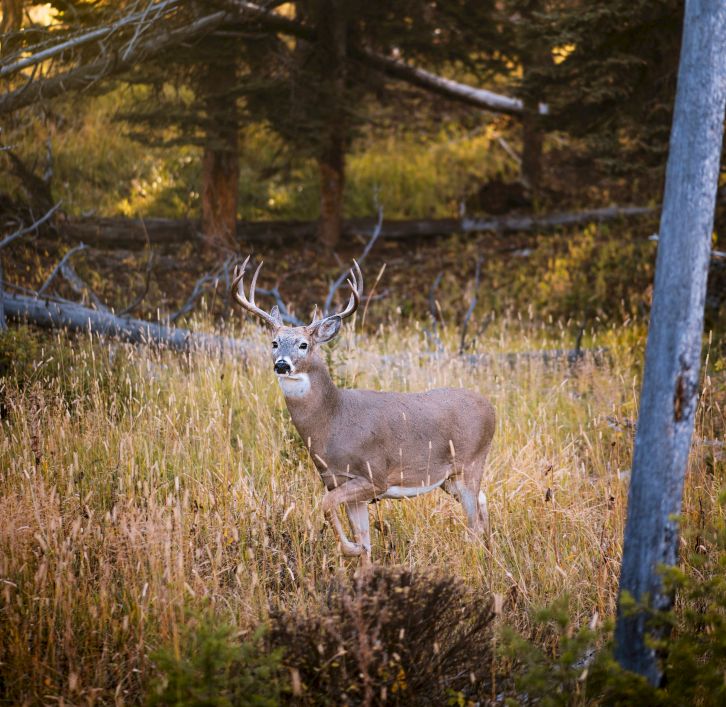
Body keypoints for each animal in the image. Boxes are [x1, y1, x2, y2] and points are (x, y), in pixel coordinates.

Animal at [232, 258, 494, 560]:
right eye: (274, 343)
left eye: (304, 344)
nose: (282, 364)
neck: (333, 420)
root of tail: (491, 408)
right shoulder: (338, 480)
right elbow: (363, 537)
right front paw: (360, 557)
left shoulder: (374, 476)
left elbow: (325, 505)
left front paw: (350, 549)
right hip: (448, 478)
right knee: (483, 502)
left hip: (471, 462)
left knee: (474, 521)